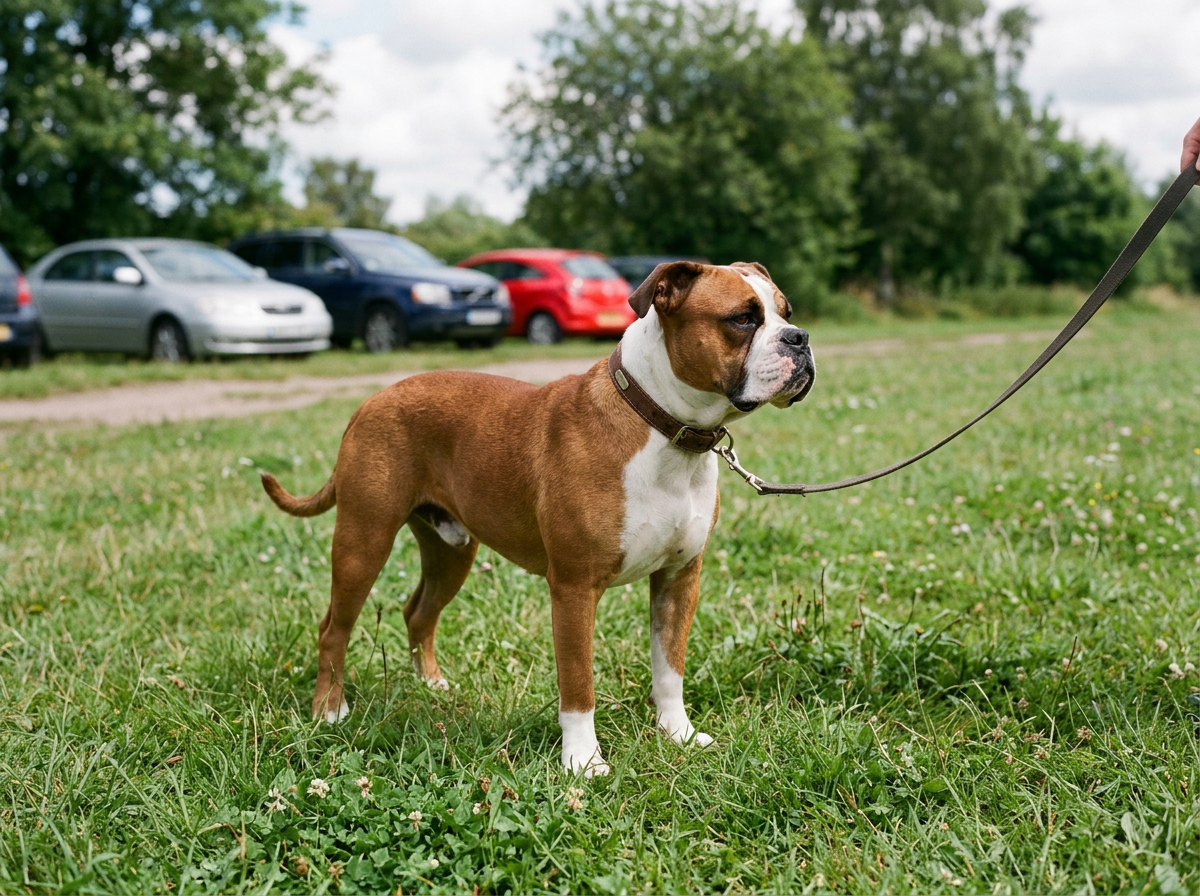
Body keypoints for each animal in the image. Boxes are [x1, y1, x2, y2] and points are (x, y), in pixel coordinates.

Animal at [261, 261, 815, 776]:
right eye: (742, 319)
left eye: (786, 312)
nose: (801, 338)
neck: (662, 425)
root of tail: (369, 402)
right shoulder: (573, 589)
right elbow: (578, 684)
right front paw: (583, 762)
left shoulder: (679, 580)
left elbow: (669, 669)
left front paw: (677, 734)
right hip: (364, 541)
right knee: (333, 628)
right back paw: (329, 711)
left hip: (451, 552)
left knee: (419, 613)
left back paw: (434, 687)